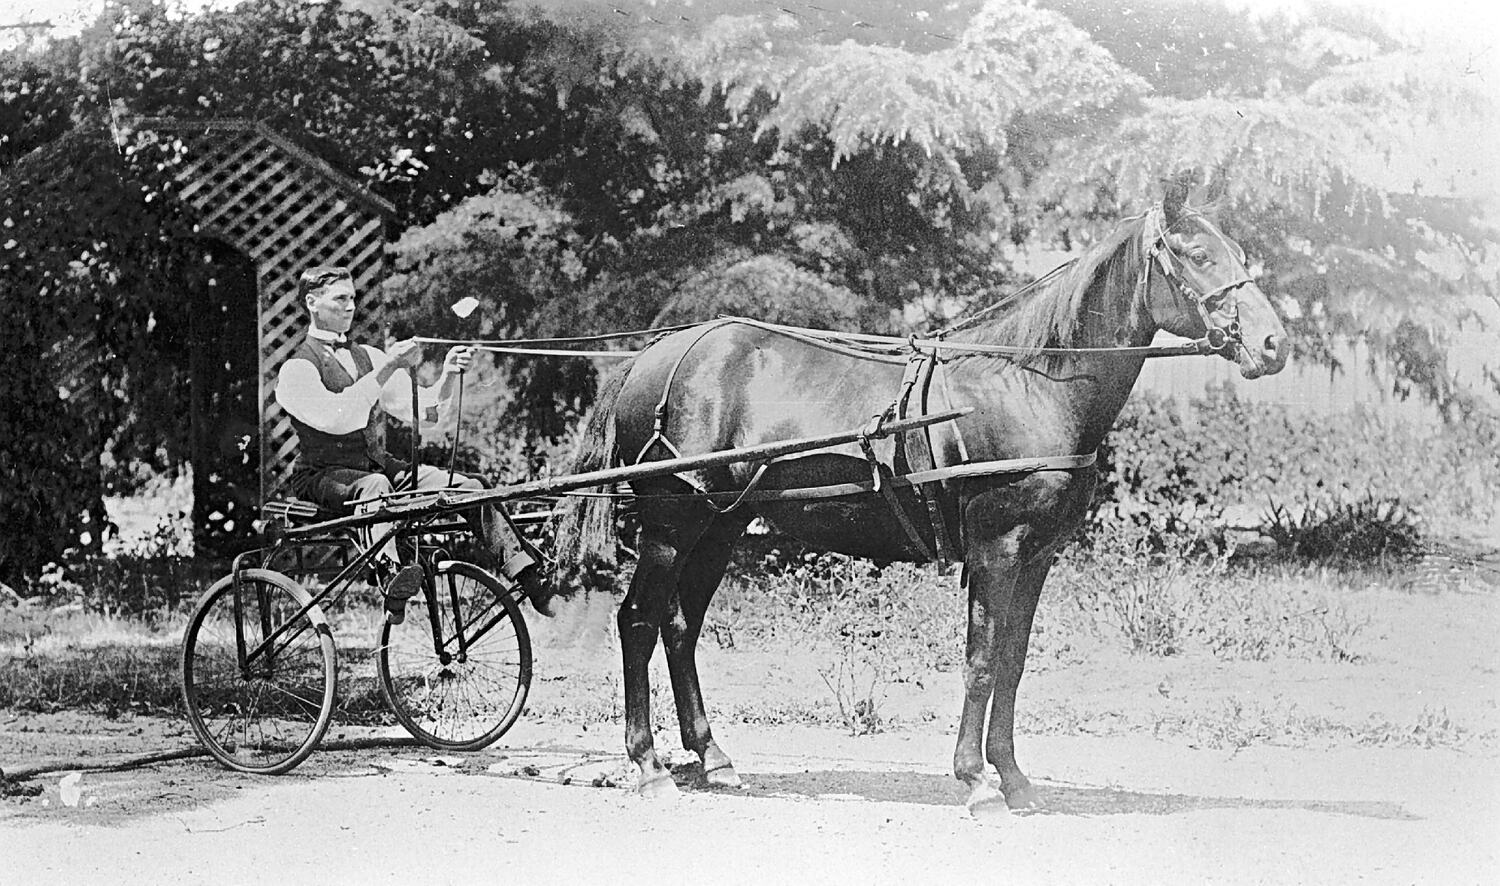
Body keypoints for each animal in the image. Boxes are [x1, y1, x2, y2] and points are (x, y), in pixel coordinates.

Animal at [549, 179, 1290, 815]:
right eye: (1196, 254)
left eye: (1238, 251)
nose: (1275, 344)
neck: (1030, 384)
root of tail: (650, 357)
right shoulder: (997, 549)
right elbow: (982, 661)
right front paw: (977, 781)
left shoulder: (1036, 558)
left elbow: (1012, 665)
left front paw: (1013, 777)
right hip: (670, 525)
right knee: (639, 621)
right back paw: (647, 766)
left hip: (721, 528)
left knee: (680, 628)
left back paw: (714, 759)